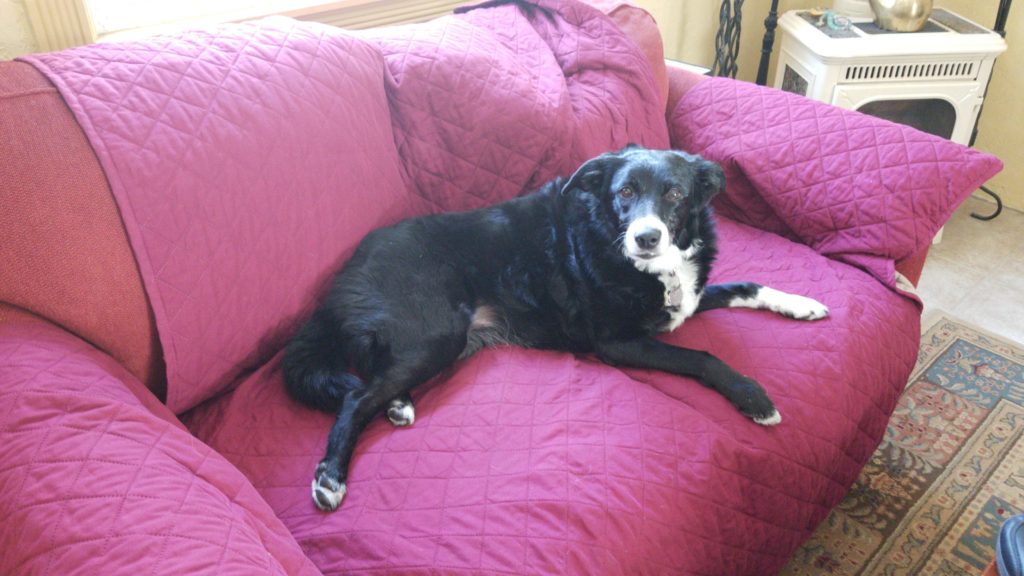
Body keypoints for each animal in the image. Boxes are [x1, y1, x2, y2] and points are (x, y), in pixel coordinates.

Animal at [284, 145, 827, 508]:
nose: (646, 238)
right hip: (436, 334)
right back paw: (330, 476)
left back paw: (397, 404)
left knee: (372, 378)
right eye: (624, 192)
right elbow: (703, 356)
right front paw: (753, 396)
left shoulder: (686, 301)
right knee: (356, 396)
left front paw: (800, 303)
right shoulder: (618, 342)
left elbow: (746, 285)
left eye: (675, 193)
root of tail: (340, 280)